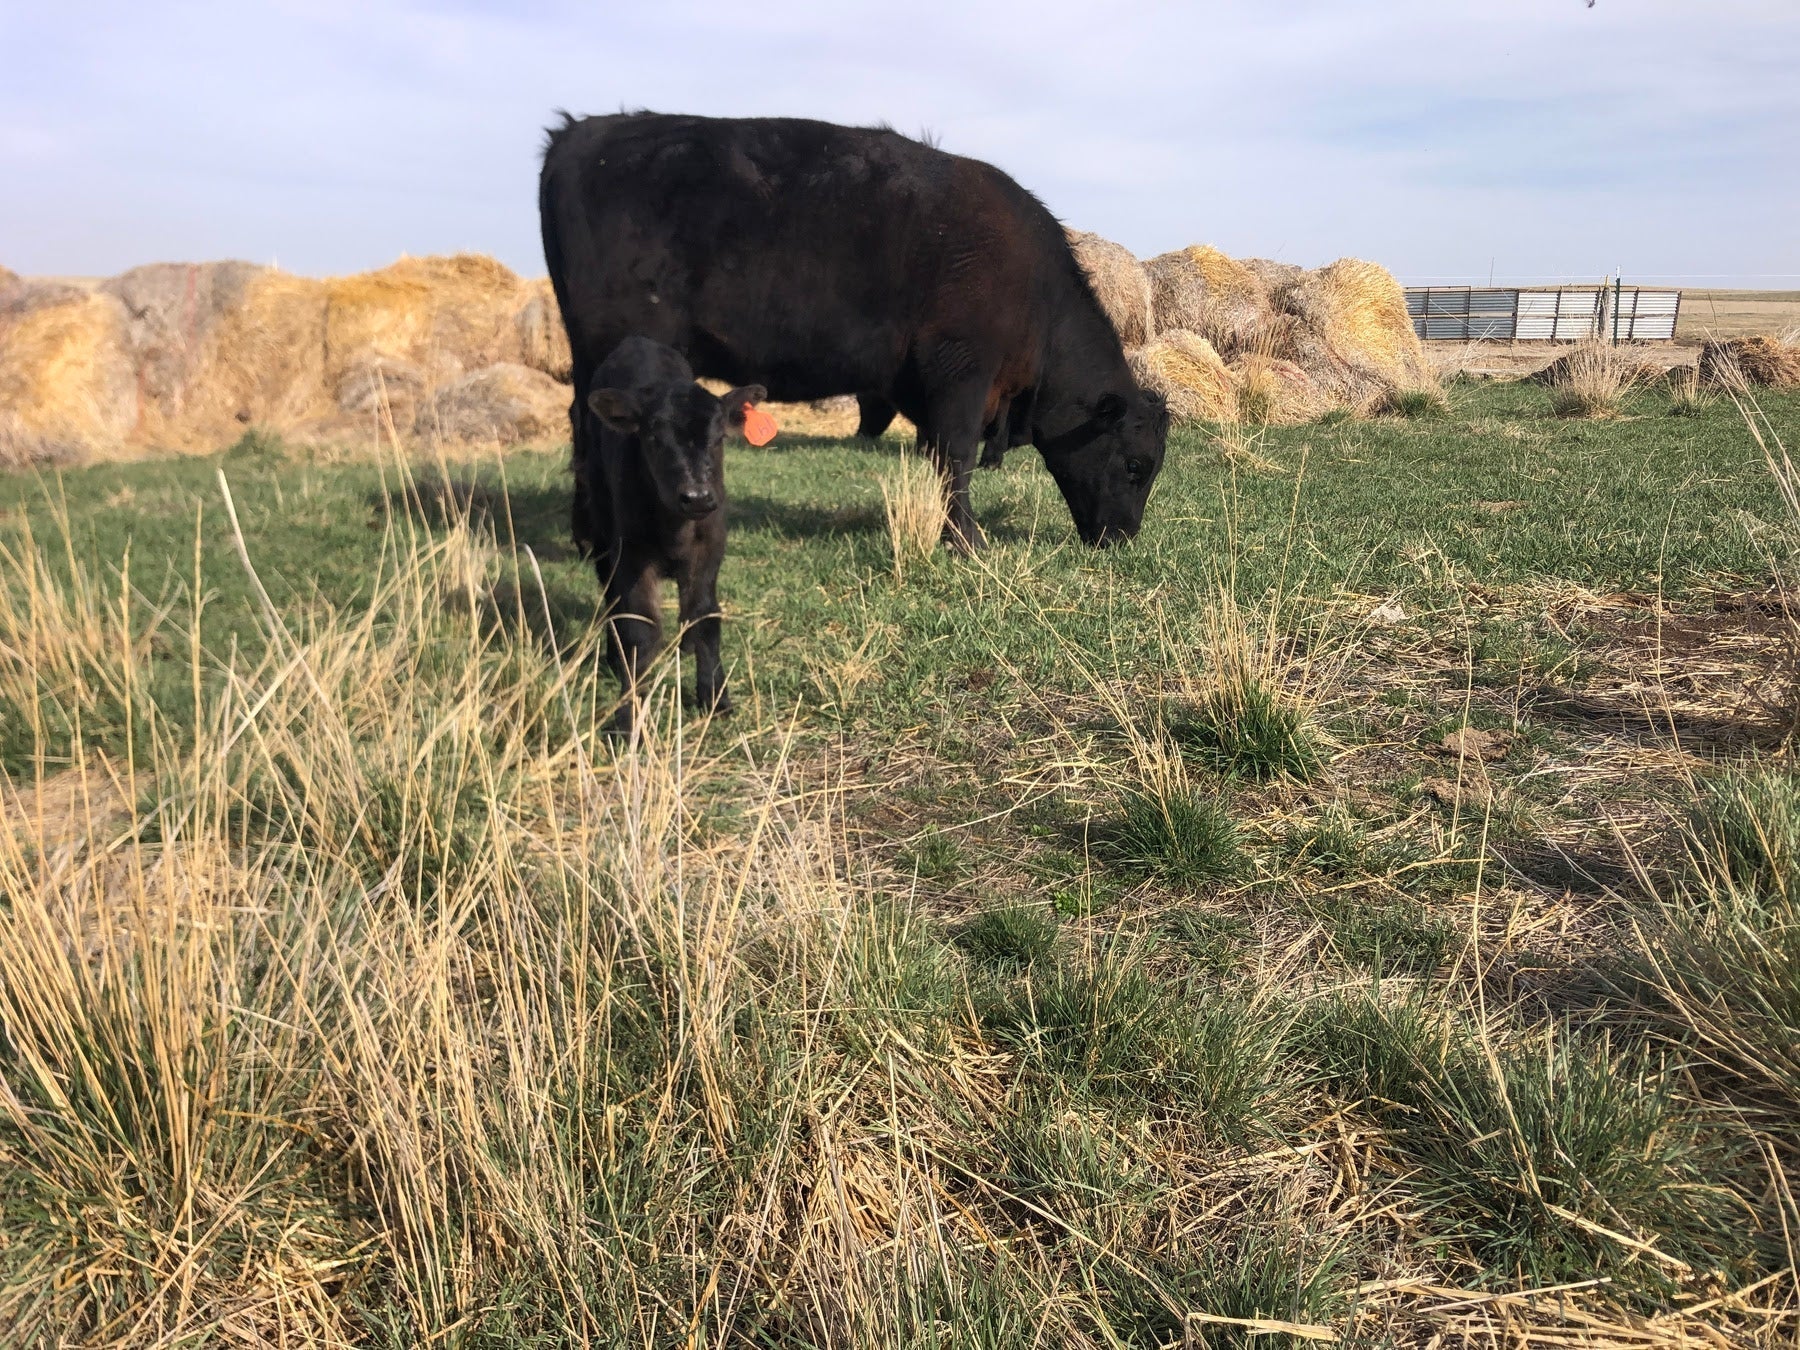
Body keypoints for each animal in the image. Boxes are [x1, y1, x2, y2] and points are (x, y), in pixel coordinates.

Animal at [539, 112, 1169, 550]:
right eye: (1136, 466)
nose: (1122, 538)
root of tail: (581, 132)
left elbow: (937, 456)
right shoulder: (961, 373)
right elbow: (956, 456)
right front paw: (967, 541)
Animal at [576, 335, 763, 734]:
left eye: (719, 437)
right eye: (653, 438)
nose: (697, 496)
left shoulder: (711, 544)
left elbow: (705, 614)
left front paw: (715, 697)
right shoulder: (631, 554)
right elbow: (640, 627)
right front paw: (629, 715)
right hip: (601, 524)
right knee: (610, 596)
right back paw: (613, 657)